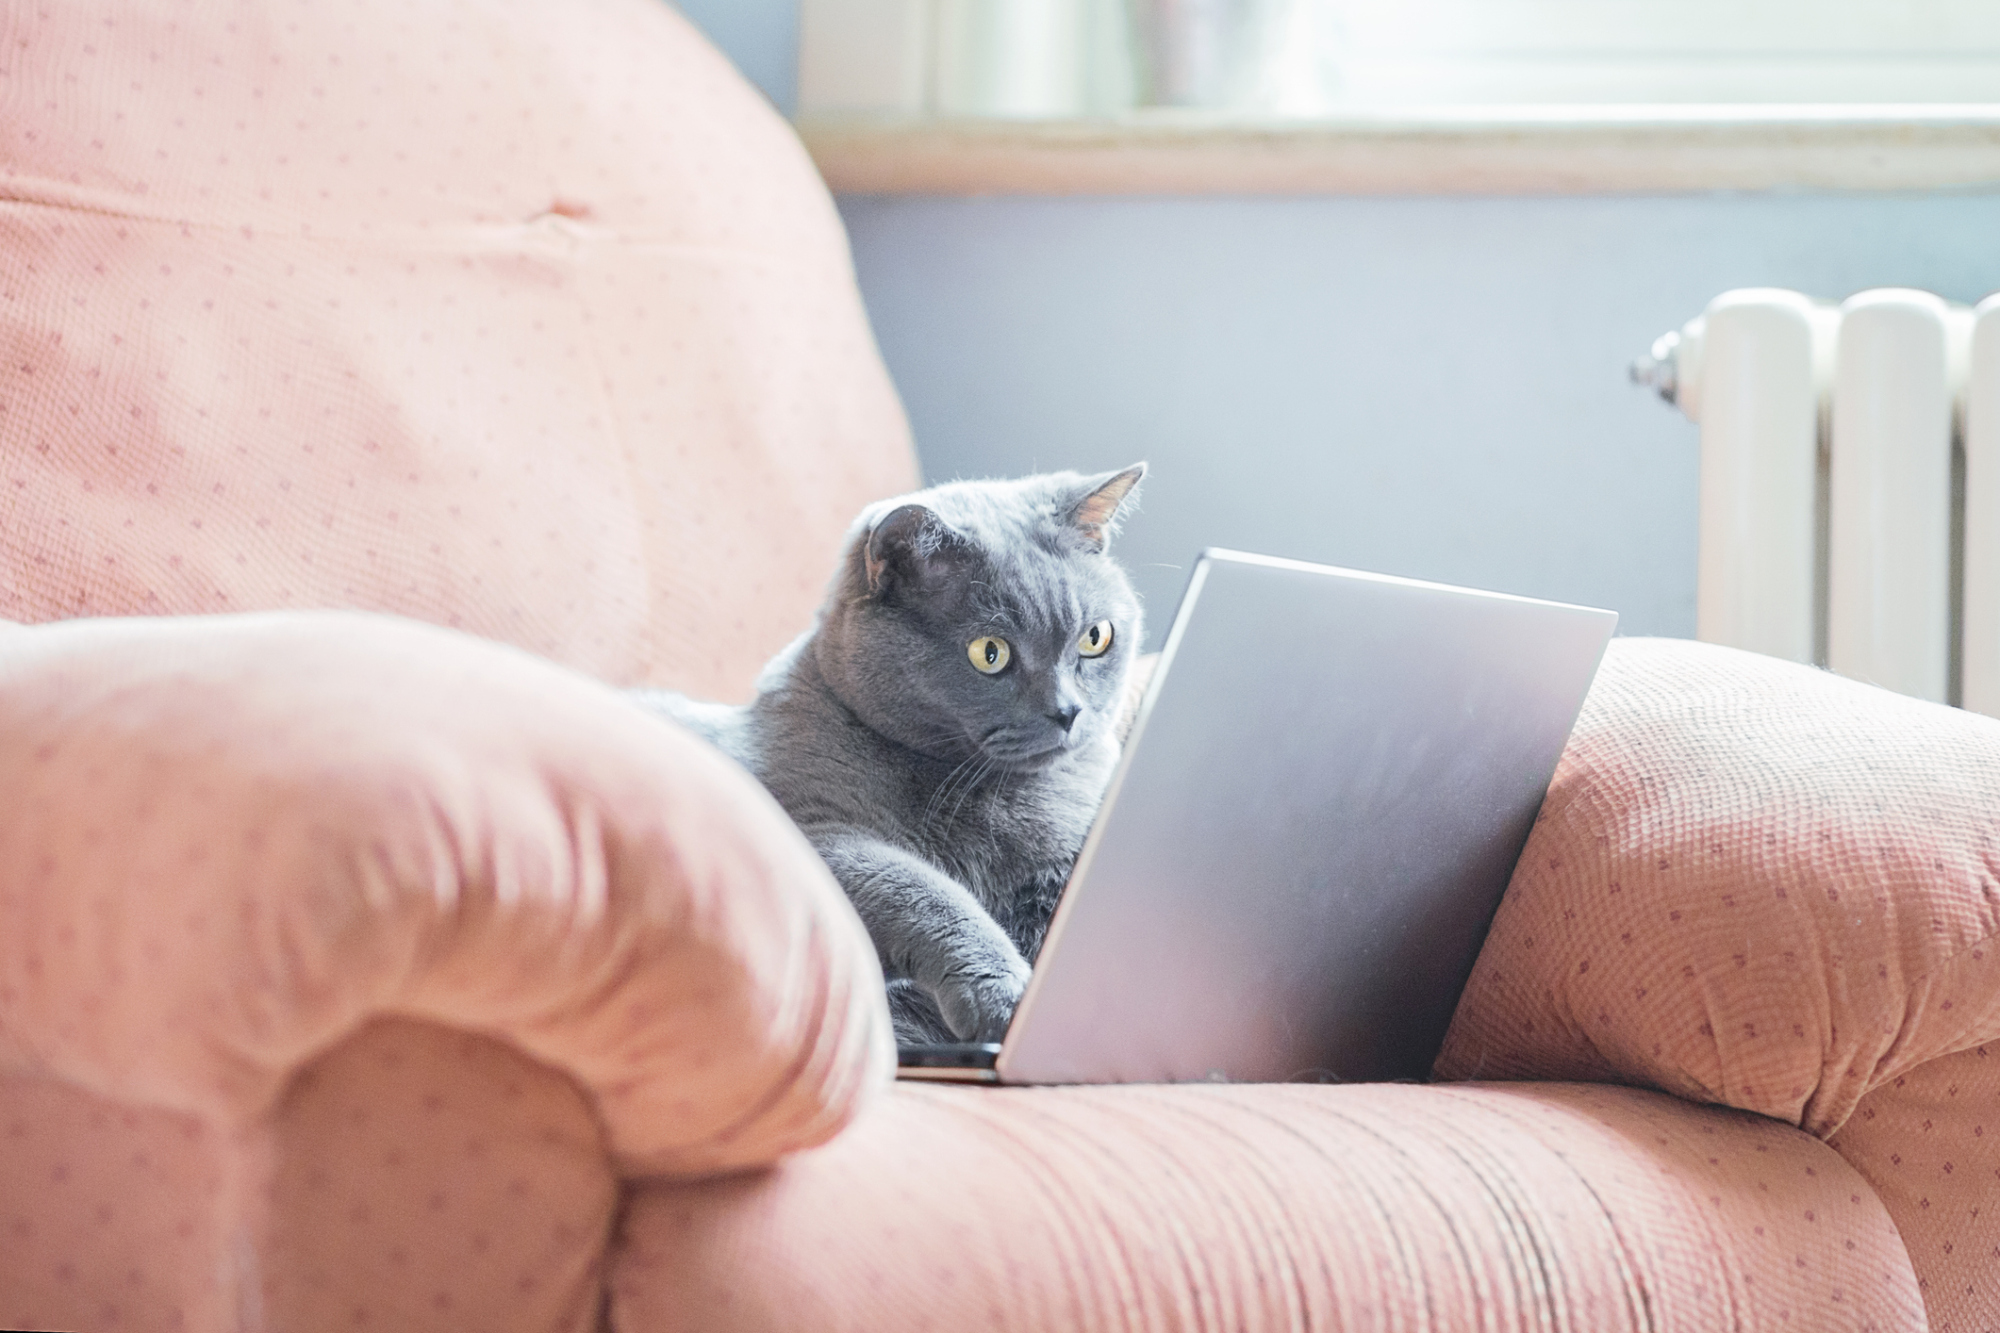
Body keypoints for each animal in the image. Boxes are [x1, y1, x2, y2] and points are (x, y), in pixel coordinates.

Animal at [632, 462, 1152, 1040]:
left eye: (1095, 638)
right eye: (989, 653)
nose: (1068, 712)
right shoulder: (814, 828)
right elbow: (916, 886)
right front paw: (1002, 994)